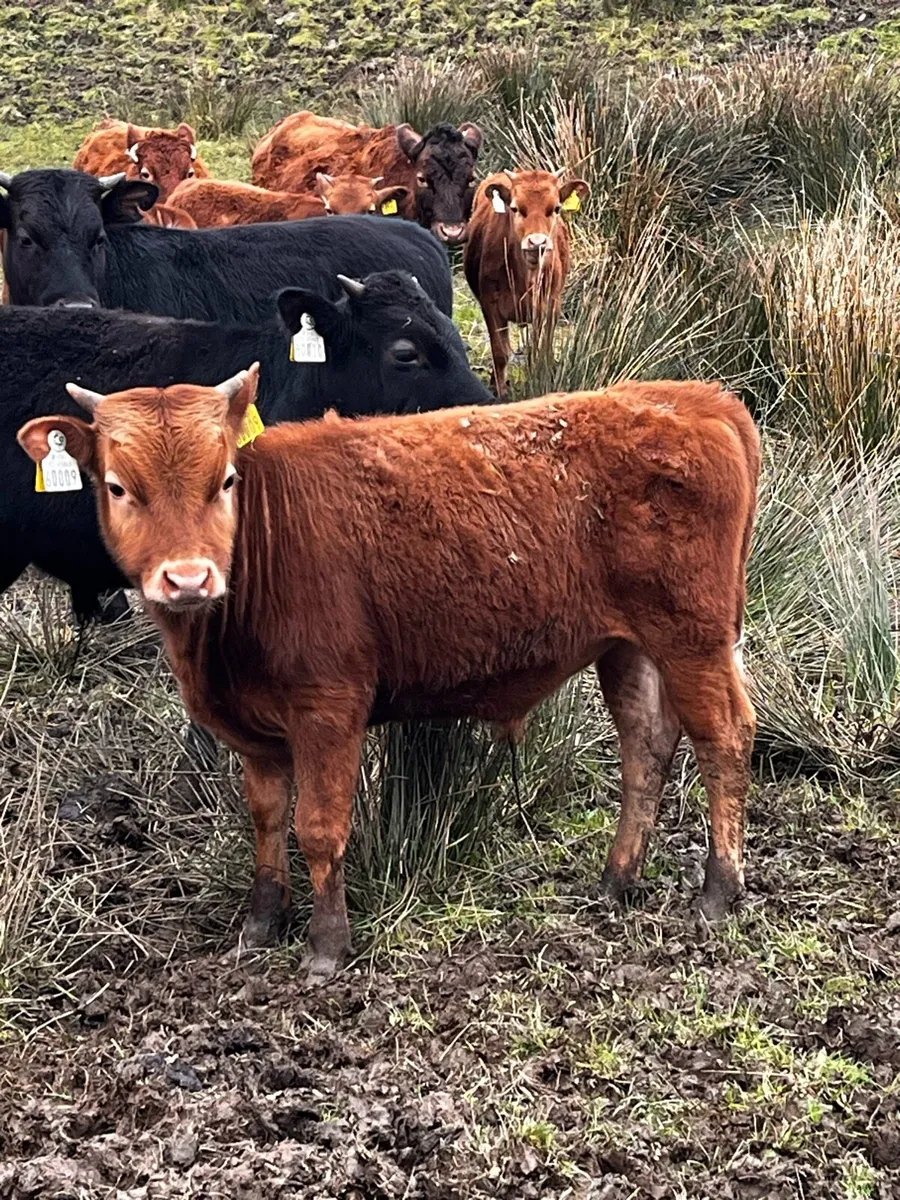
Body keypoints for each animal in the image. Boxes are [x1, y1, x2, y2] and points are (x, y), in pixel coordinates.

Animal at [19, 372, 759, 982]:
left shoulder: (328, 707)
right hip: (628, 647)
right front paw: (260, 923)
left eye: (224, 481)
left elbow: (319, 827)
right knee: (646, 747)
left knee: (723, 739)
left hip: (693, 639)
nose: (188, 578)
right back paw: (617, 878)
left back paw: (717, 889)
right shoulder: (257, 733)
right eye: (119, 487)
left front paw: (325, 946)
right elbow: (266, 819)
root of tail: (691, 399)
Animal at [464, 170, 591, 396]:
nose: (537, 243)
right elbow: (500, 353)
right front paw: (500, 392)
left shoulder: (550, 305)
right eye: (515, 208)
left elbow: (541, 352)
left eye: (556, 208)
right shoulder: (490, 304)